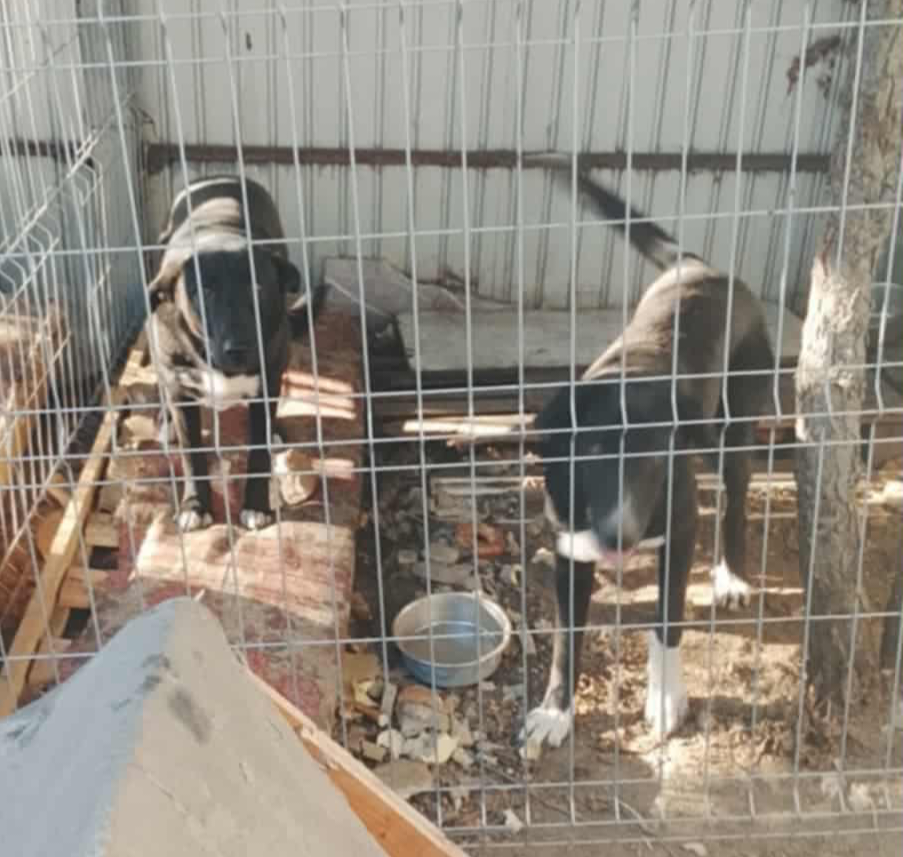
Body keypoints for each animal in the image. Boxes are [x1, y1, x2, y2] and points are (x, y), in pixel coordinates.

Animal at [146, 175, 319, 533]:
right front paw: (194, 506)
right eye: (202, 291)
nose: (238, 348)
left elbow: (259, 452)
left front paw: (255, 505)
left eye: (257, 288)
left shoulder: (267, 382)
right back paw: (165, 422)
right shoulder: (180, 387)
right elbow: (192, 455)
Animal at [519, 155, 775, 757]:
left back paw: (731, 577)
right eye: (591, 449)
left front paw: (664, 700)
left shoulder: (679, 532)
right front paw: (556, 711)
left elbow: (668, 622)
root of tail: (700, 266)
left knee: (735, 499)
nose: (621, 537)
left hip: (732, 426)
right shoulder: (569, 548)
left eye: (655, 455)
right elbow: (565, 639)